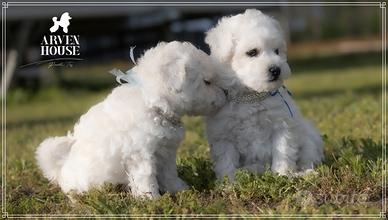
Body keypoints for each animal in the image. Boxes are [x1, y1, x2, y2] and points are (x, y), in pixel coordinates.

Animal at [36, 41, 232, 198]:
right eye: (207, 82)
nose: (226, 93)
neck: (152, 103)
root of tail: (61, 168)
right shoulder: (140, 155)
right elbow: (146, 178)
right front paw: (151, 199)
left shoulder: (166, 152)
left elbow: (169, 174)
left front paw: (181, 190)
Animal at [206, 9, 324, 180]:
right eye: (252, 52)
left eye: (277, 51)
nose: (276, 69)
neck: (251, 96)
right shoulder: (223, 135)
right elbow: (226, 161)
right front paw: (229, 182)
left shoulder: (282, 125)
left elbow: (282, 152)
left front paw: (282, 174)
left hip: (309, 136)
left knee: (308, 156)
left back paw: (305, 172)